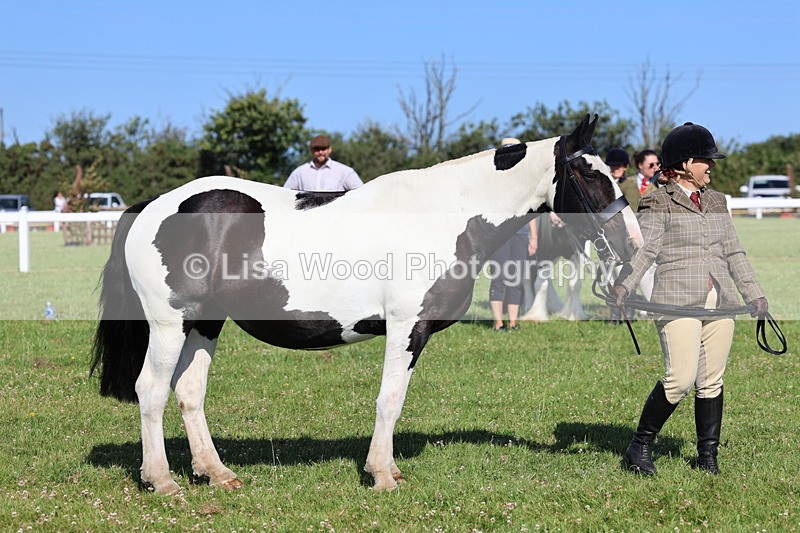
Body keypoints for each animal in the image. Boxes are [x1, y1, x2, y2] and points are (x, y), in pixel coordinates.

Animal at [91, 114, 643, 495]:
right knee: (151, 390)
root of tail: (153, 206)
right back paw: (161, 480)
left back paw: (216, 472)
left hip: (204, 323)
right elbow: (389, 399)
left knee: (189, 391)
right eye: (590, 176)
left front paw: (388, 468)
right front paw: (381, 474)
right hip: (169, 324)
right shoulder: (406, 327)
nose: (633, 242)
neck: (446, 213)